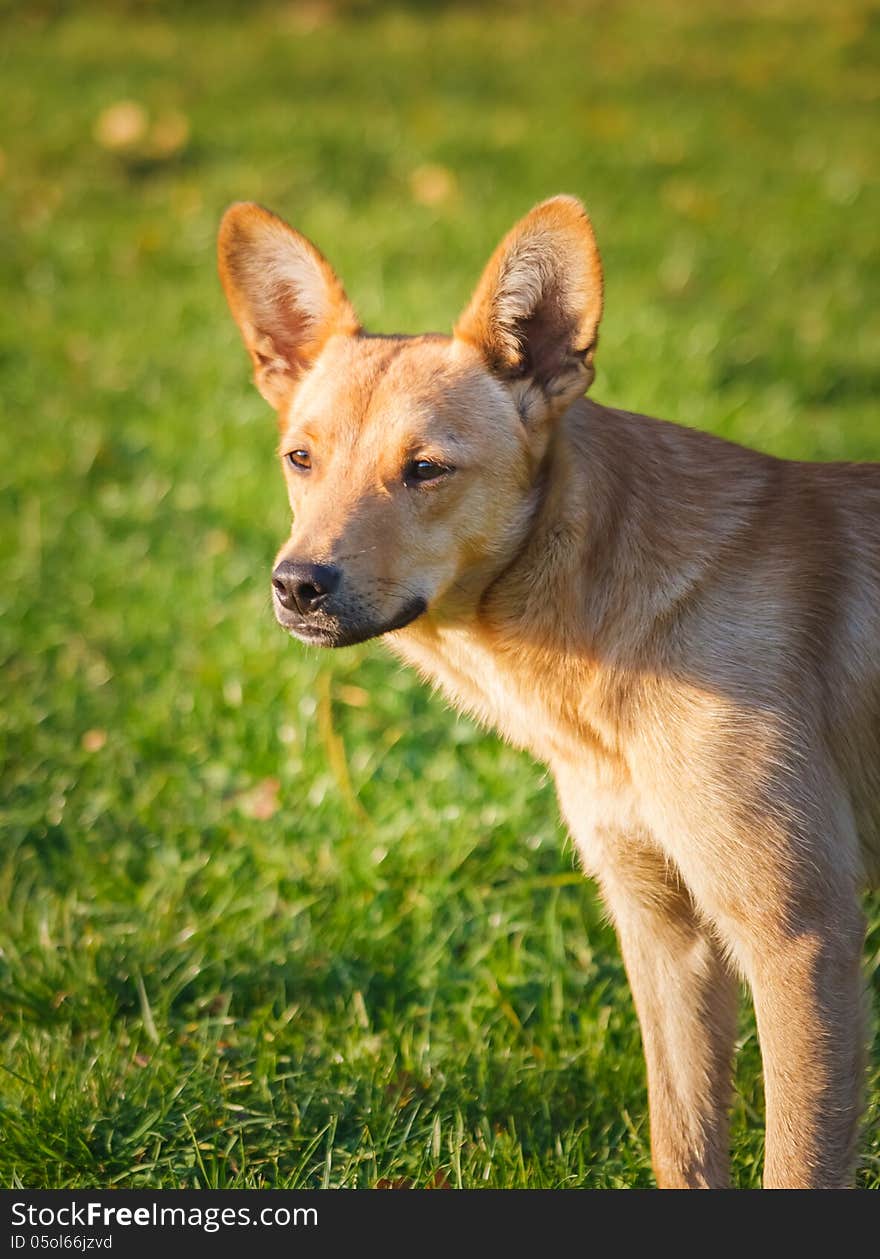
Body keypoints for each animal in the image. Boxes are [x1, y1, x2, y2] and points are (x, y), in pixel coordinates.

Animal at [216, 196, 876, 1188]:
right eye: (300, 458)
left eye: (426, 469)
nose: (296, 585)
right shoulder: (663, 928)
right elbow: (682, 1144)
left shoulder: (801, 934)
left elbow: (796, 1163)